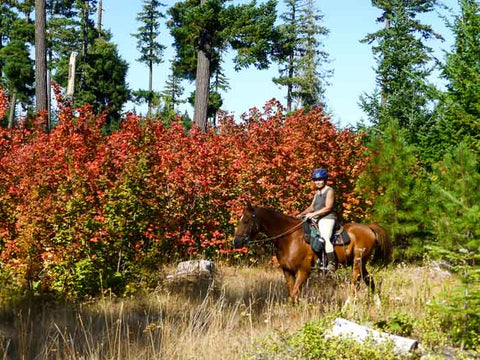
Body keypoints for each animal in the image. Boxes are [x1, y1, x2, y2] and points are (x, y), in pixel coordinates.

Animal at [232, 204, 394, 302]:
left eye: (246, 221)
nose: (236, 242)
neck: (289, 238)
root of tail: (369, 228)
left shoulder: (304, 271)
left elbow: (295, 293)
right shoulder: (287, 271)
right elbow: (292, 294)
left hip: (357, 262)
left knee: (355, 283)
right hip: (362, 264)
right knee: (370, 280)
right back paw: (377, 305)